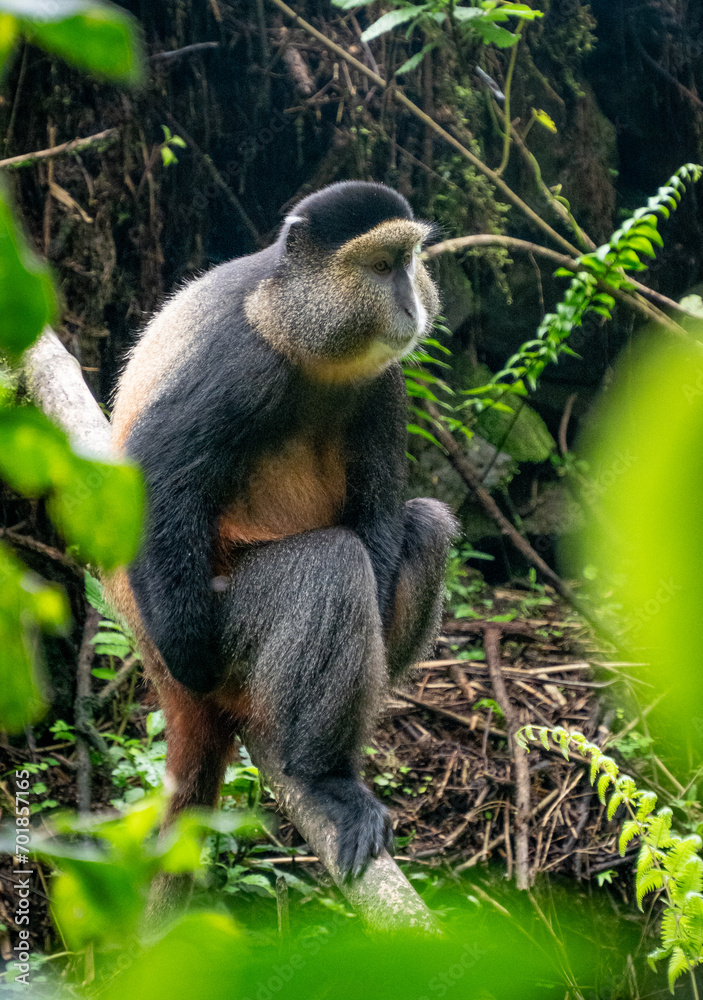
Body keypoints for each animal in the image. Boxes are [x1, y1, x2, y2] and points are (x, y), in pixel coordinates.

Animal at [106, 181, 457, 880]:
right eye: (382, 266)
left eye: (409, 262)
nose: (410, 303)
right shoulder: (240, 361)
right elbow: (159, 469)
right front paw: (192, 653)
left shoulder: (385, 382)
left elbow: (379, 509)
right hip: (225, 624)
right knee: (330, 565)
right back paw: (322, 776)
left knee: (425, 528)